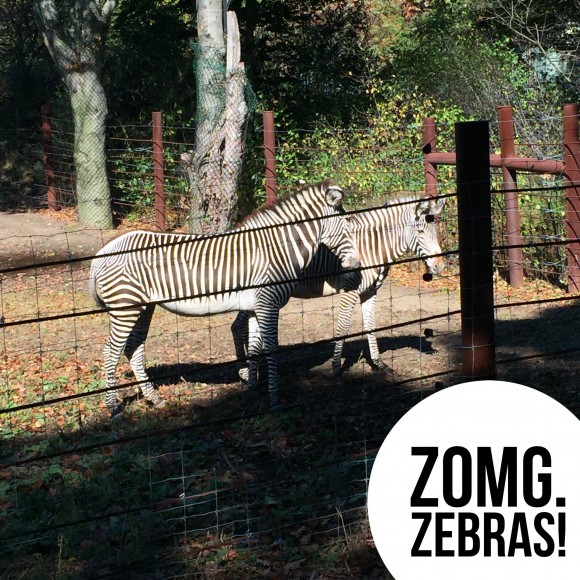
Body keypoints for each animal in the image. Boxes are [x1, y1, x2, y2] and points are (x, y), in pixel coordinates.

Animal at [90, 179, 358, 414]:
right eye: (346, 223)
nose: (356, 265)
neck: (276, 249)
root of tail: (102, 252)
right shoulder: (268, 303)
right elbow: (270, 349)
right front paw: (274, 400)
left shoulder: (255, 307)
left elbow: (255, 348)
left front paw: (252, 389)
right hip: (125, 306)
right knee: (111, 352)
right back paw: (113, 409)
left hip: (144, 307)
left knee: (133, 348)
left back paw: (154, 399)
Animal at [233, 196, 446, 380]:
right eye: (420, 232)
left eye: (436, 231)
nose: (440, 266)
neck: (371, 247)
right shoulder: (349, 292)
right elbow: (343, 328)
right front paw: (336, 369)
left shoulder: (370, 292)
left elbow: (371, 325)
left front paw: (380, 364)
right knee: (238, 326)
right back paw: (245, 373)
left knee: (237, 325)